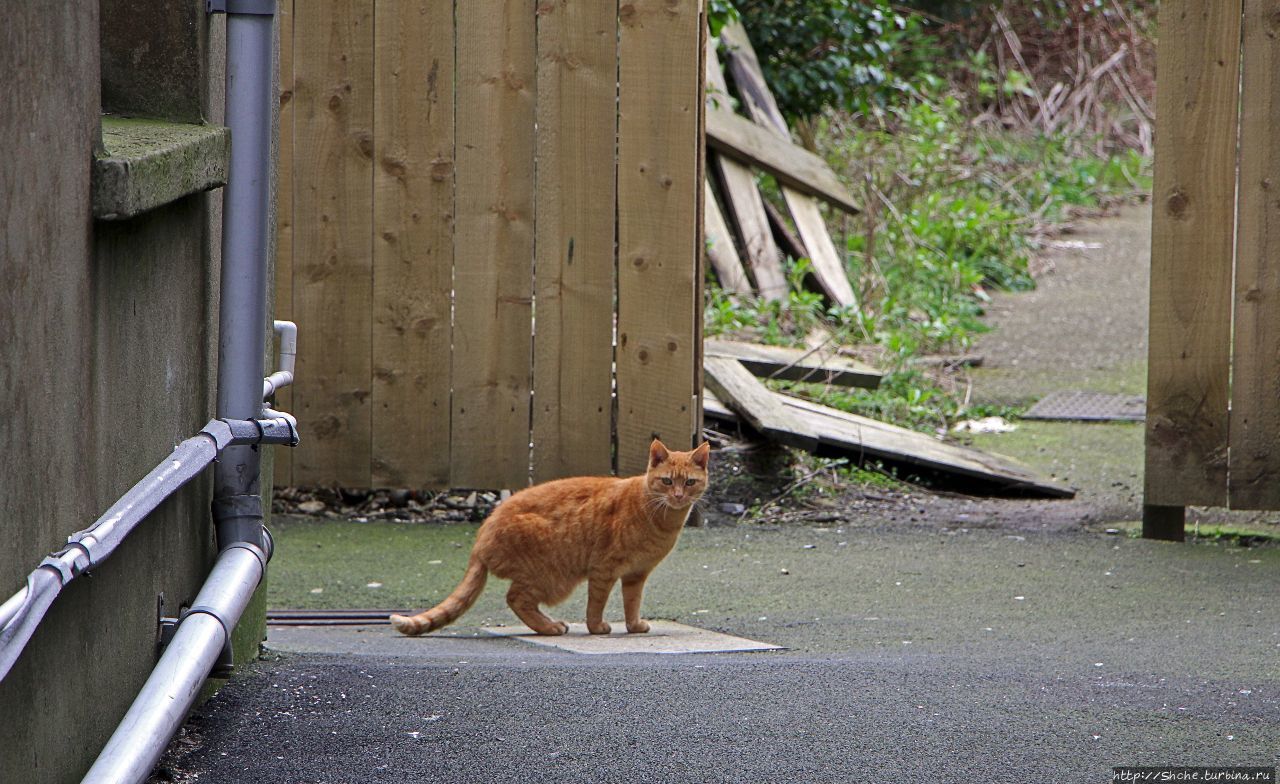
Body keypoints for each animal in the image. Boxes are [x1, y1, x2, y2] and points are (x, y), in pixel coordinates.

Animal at [389, 440, 711, 637]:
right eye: (667, 481)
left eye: (689, 482)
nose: (678, 496)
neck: (660, 518)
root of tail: (482, 533)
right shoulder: (603, 570)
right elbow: (596, 604)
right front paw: (596, 627)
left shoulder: (636, 575)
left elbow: (632, 603)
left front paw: (633, 626)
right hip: (553, 577)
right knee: (516, 598)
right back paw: (550, 627)